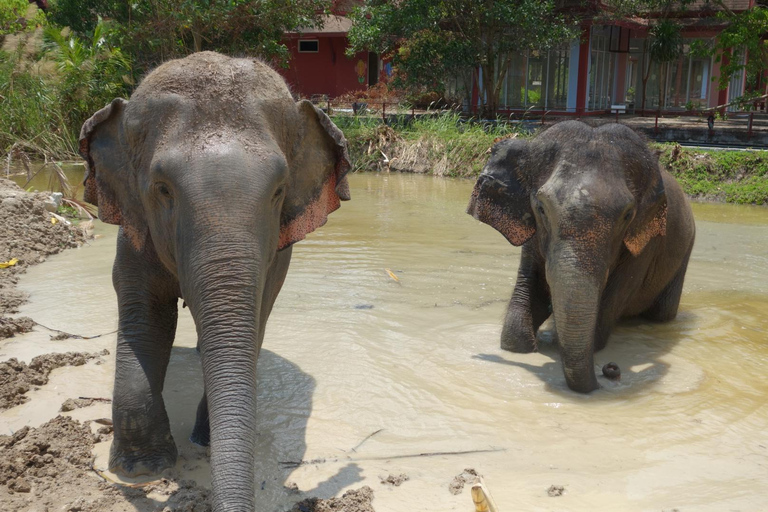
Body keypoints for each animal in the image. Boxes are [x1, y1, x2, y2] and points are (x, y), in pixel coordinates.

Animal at [78, 52, 350, 511]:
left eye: (279, 191)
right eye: (163, 189)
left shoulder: (276, 255)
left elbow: (254, 318)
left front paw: (202, 443)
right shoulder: (135, 231)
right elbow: (146, 318)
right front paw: (142, 469)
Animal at [467, 121, 695, 393]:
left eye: (628, 215)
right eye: (541, 208)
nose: (611, 369)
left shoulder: (645, 242)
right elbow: (517, 324)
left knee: (661, 315)